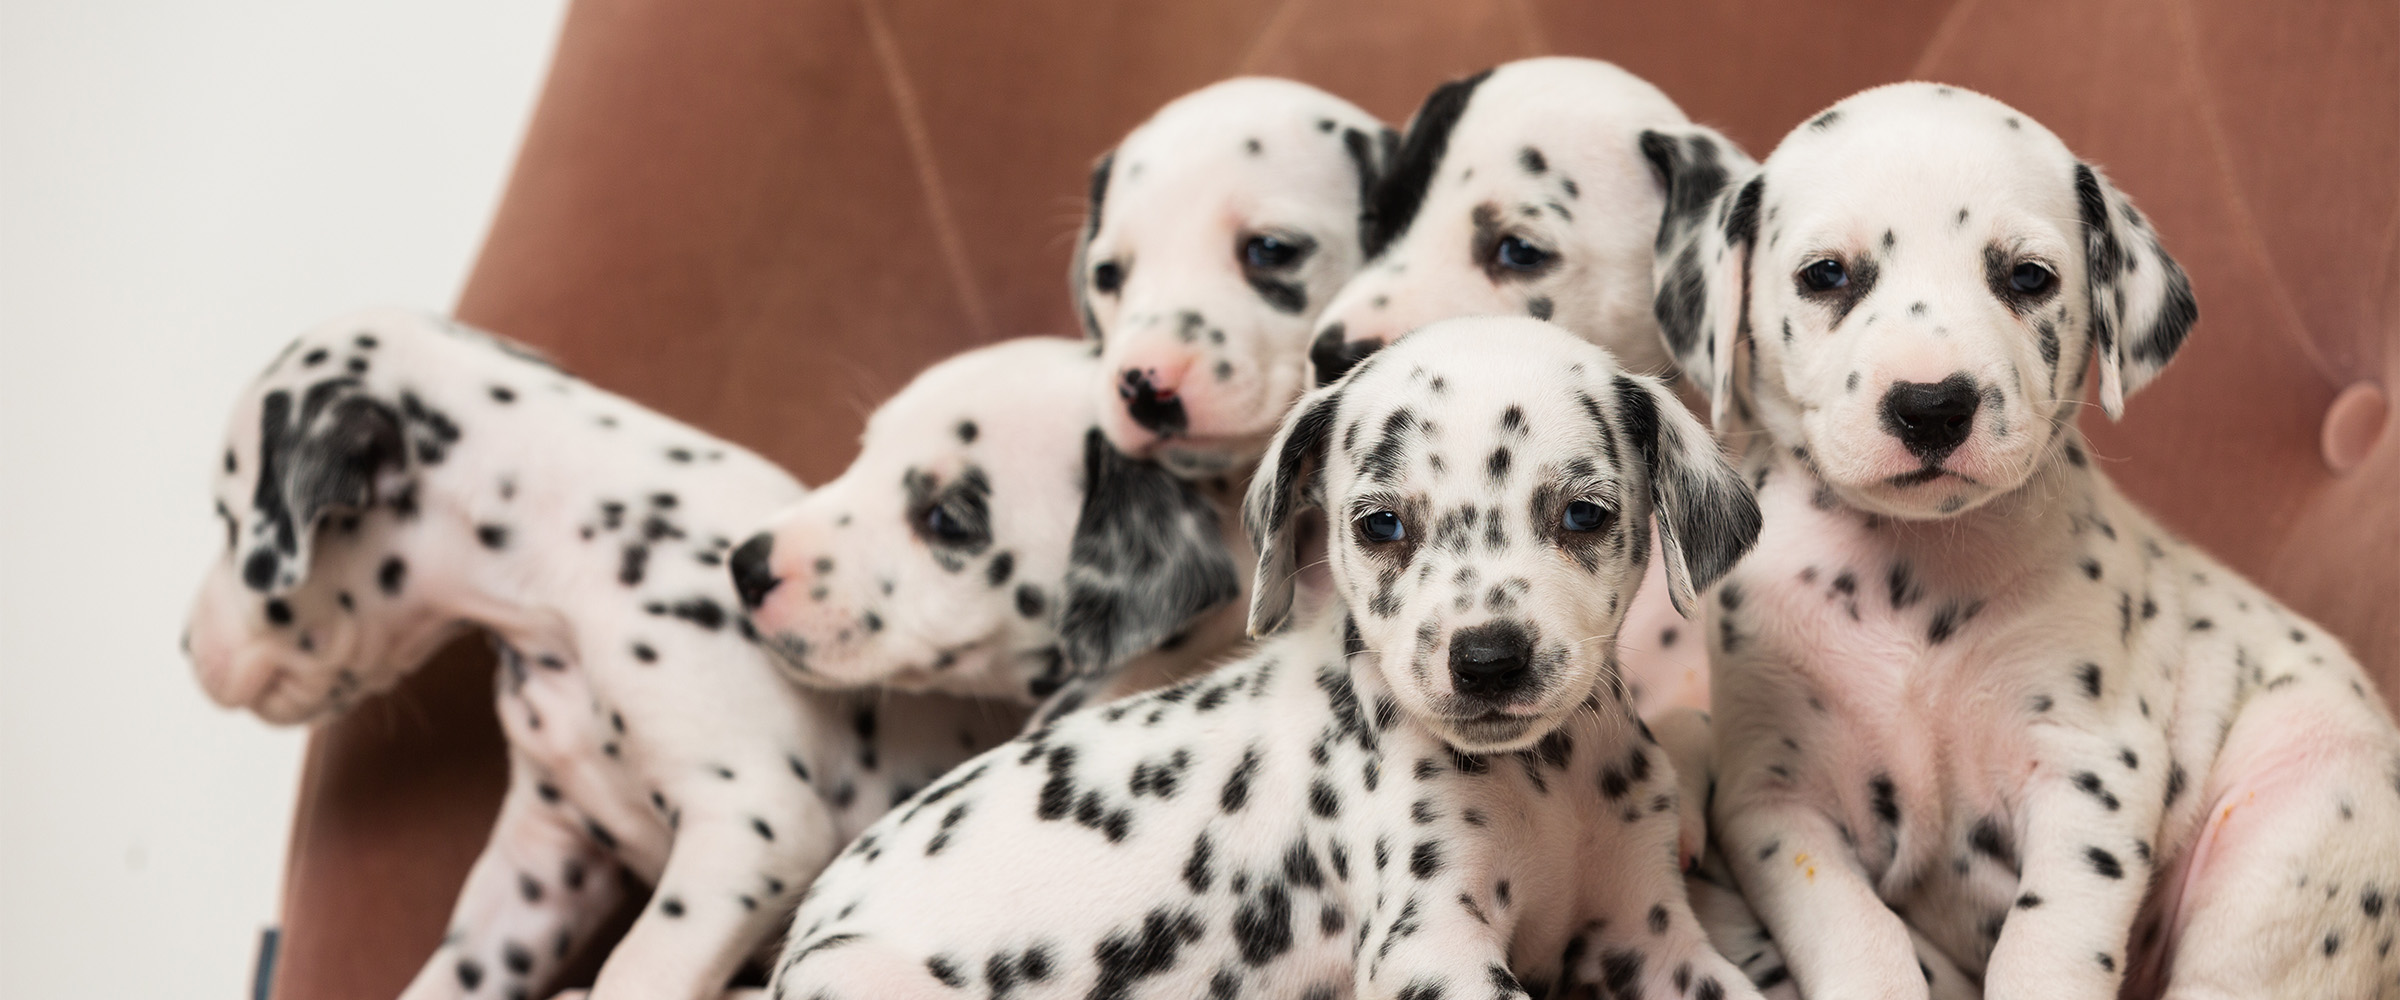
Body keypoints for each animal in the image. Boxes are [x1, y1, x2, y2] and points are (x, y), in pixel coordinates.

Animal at [183, 308, 1027, 1000]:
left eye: (228, 523)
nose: (185, 645)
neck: (567, 585)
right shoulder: (545, 860)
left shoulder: (749, 827)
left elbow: (634, 972)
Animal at [1645, 82, 2400, 999]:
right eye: (1826, 274)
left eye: (2028, 276)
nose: (1932, 404)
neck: (1913, 570)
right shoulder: (1777, 798)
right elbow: (1857, 933)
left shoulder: (2088, 773)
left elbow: (2048, 946)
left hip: (2295, 823)